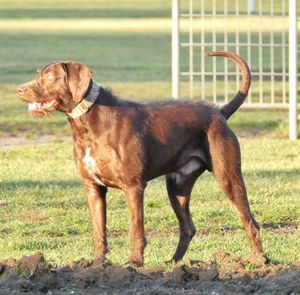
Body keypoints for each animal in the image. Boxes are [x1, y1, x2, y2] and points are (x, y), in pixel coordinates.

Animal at [17, 52, 264, 268]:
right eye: (38, 74)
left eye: (50, 77)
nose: (20, 90)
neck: (88, 124)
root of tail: (220, 112)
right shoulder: (93, 188)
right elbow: (99, 231)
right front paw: (98, 264)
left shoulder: (133, 187)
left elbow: (136, 230)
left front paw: (135, 263)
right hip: (177, 186)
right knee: (188, 227)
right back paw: (173, 263)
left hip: (228, 177)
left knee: (250, 221)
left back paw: (258, 261)